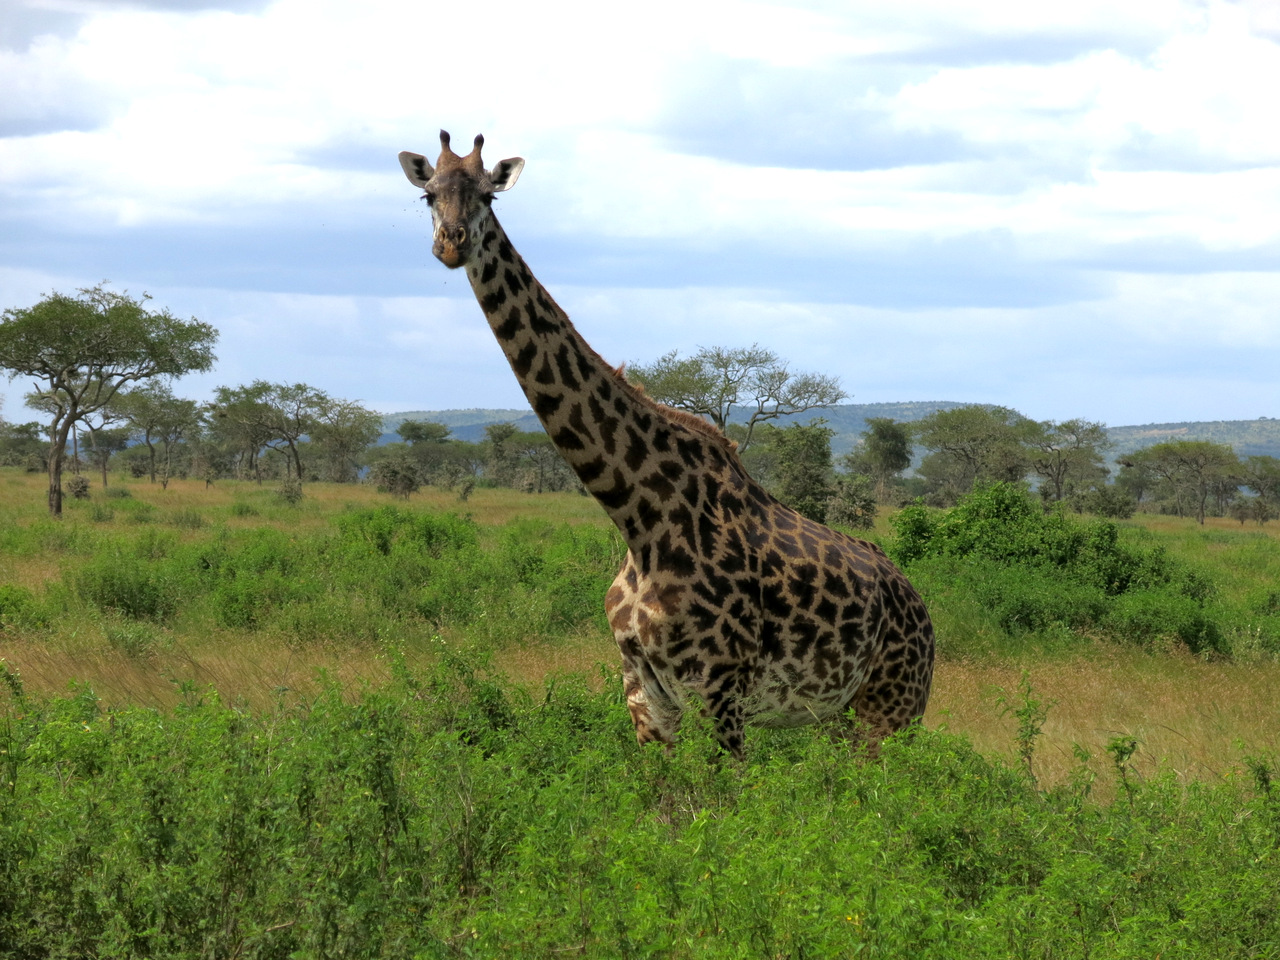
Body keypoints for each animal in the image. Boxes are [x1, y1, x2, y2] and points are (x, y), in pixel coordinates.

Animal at [399, 131, 935, 759]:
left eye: (489, 196)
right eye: (429, 195)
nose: (451, 244)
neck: (637, 518)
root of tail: (922, 611)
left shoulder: (720, 690)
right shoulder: (644, 693)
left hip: (892, 709)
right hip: (839, 715)